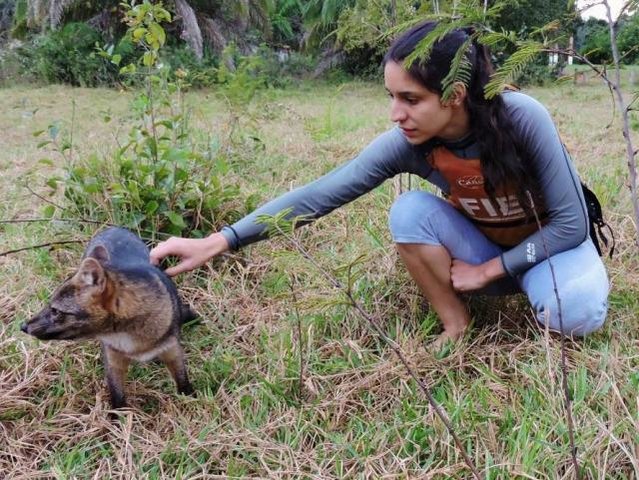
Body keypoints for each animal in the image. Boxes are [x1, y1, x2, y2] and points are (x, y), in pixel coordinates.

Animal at [21, 227, 196, 406]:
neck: (131, 340)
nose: (23, 326)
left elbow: (182, 379)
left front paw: (190, 397)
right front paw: (119, 413)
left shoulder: (172, 350)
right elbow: (117, 394)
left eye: (55, 311)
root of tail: (113, 228)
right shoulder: (113, 361)